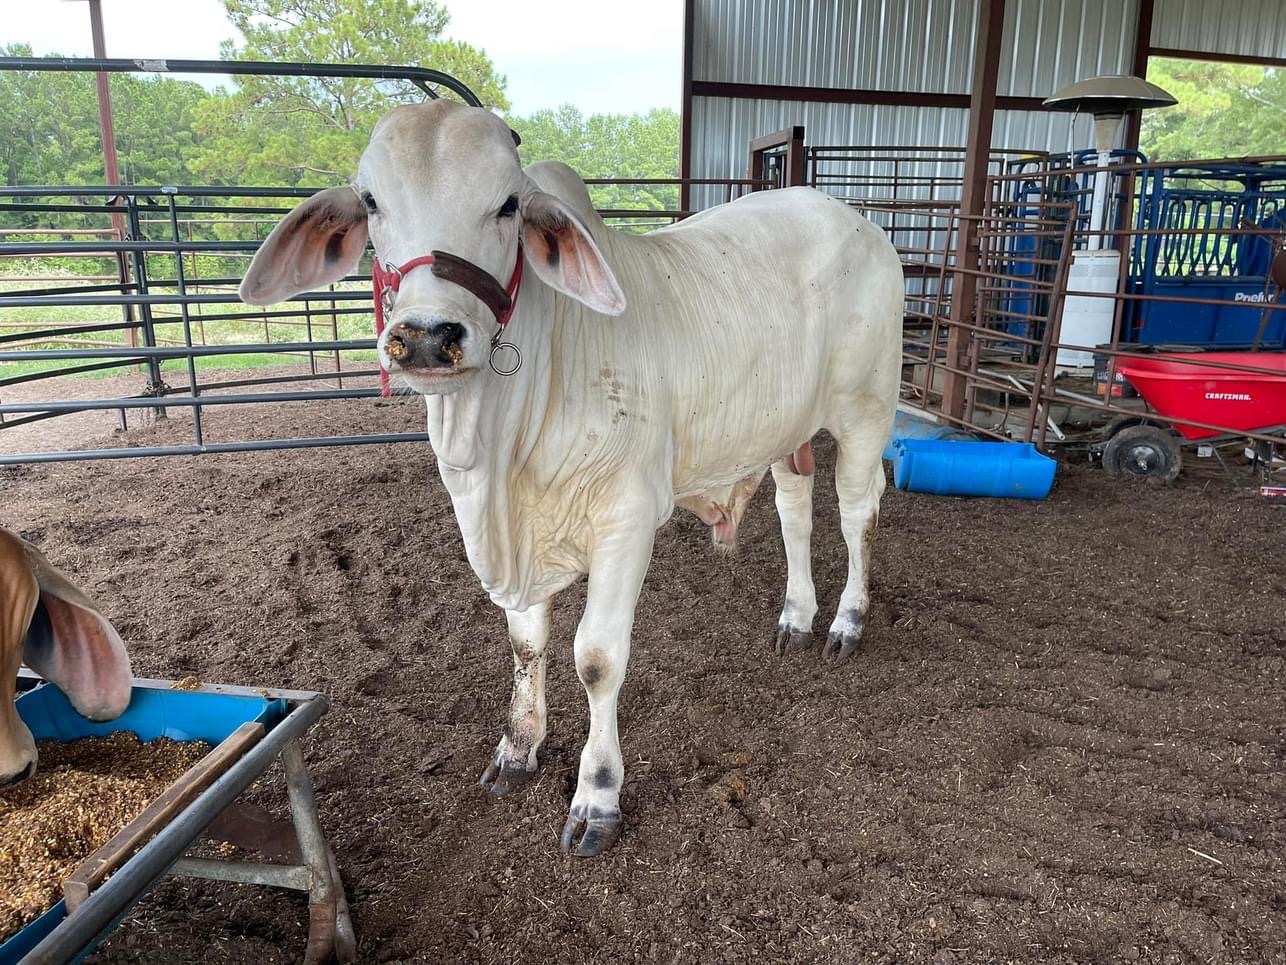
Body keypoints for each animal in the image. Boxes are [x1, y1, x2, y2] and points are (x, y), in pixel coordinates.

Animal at [241, 100, 905, 854]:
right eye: (373, 201)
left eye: (508, 204)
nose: (429, 337)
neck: (499, 448)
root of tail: (854, 220)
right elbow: (526, 644)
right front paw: (518, 748)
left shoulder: (626, 519)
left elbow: (597, 657)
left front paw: (597, 794)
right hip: (784, 428)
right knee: (796, 504)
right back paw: (795, 615)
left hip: (865, 409)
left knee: (857, 509)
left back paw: (847, 620)